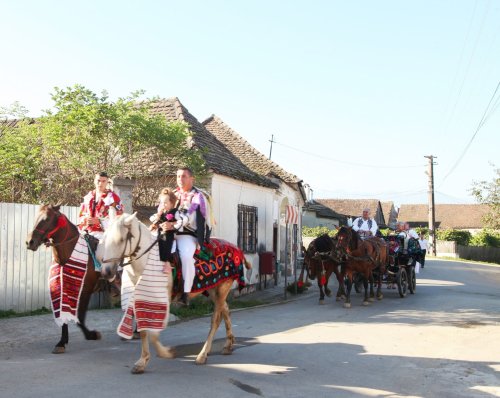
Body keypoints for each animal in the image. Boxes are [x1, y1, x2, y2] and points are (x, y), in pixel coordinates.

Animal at [26, 205, 103, 354]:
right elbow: (64, 314)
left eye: (47, 219)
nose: (29, 242)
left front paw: (90, 334)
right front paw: (61, 342)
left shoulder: (86, 289)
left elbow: (80, 316)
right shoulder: (62, 287)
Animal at [100, 211, 252, 374]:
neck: (147, 260)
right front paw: (142, 362)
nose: (106, 272)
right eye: (104, 239)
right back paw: (228, 345)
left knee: (216, 320)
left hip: (222, 289)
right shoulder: (141, 297)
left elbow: (153, 334)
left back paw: (202, 355)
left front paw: (165, 353)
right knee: (226, 310)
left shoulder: (163, 300)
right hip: (214, 290)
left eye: (121, 239)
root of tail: (237, 249)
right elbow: (144, 330)